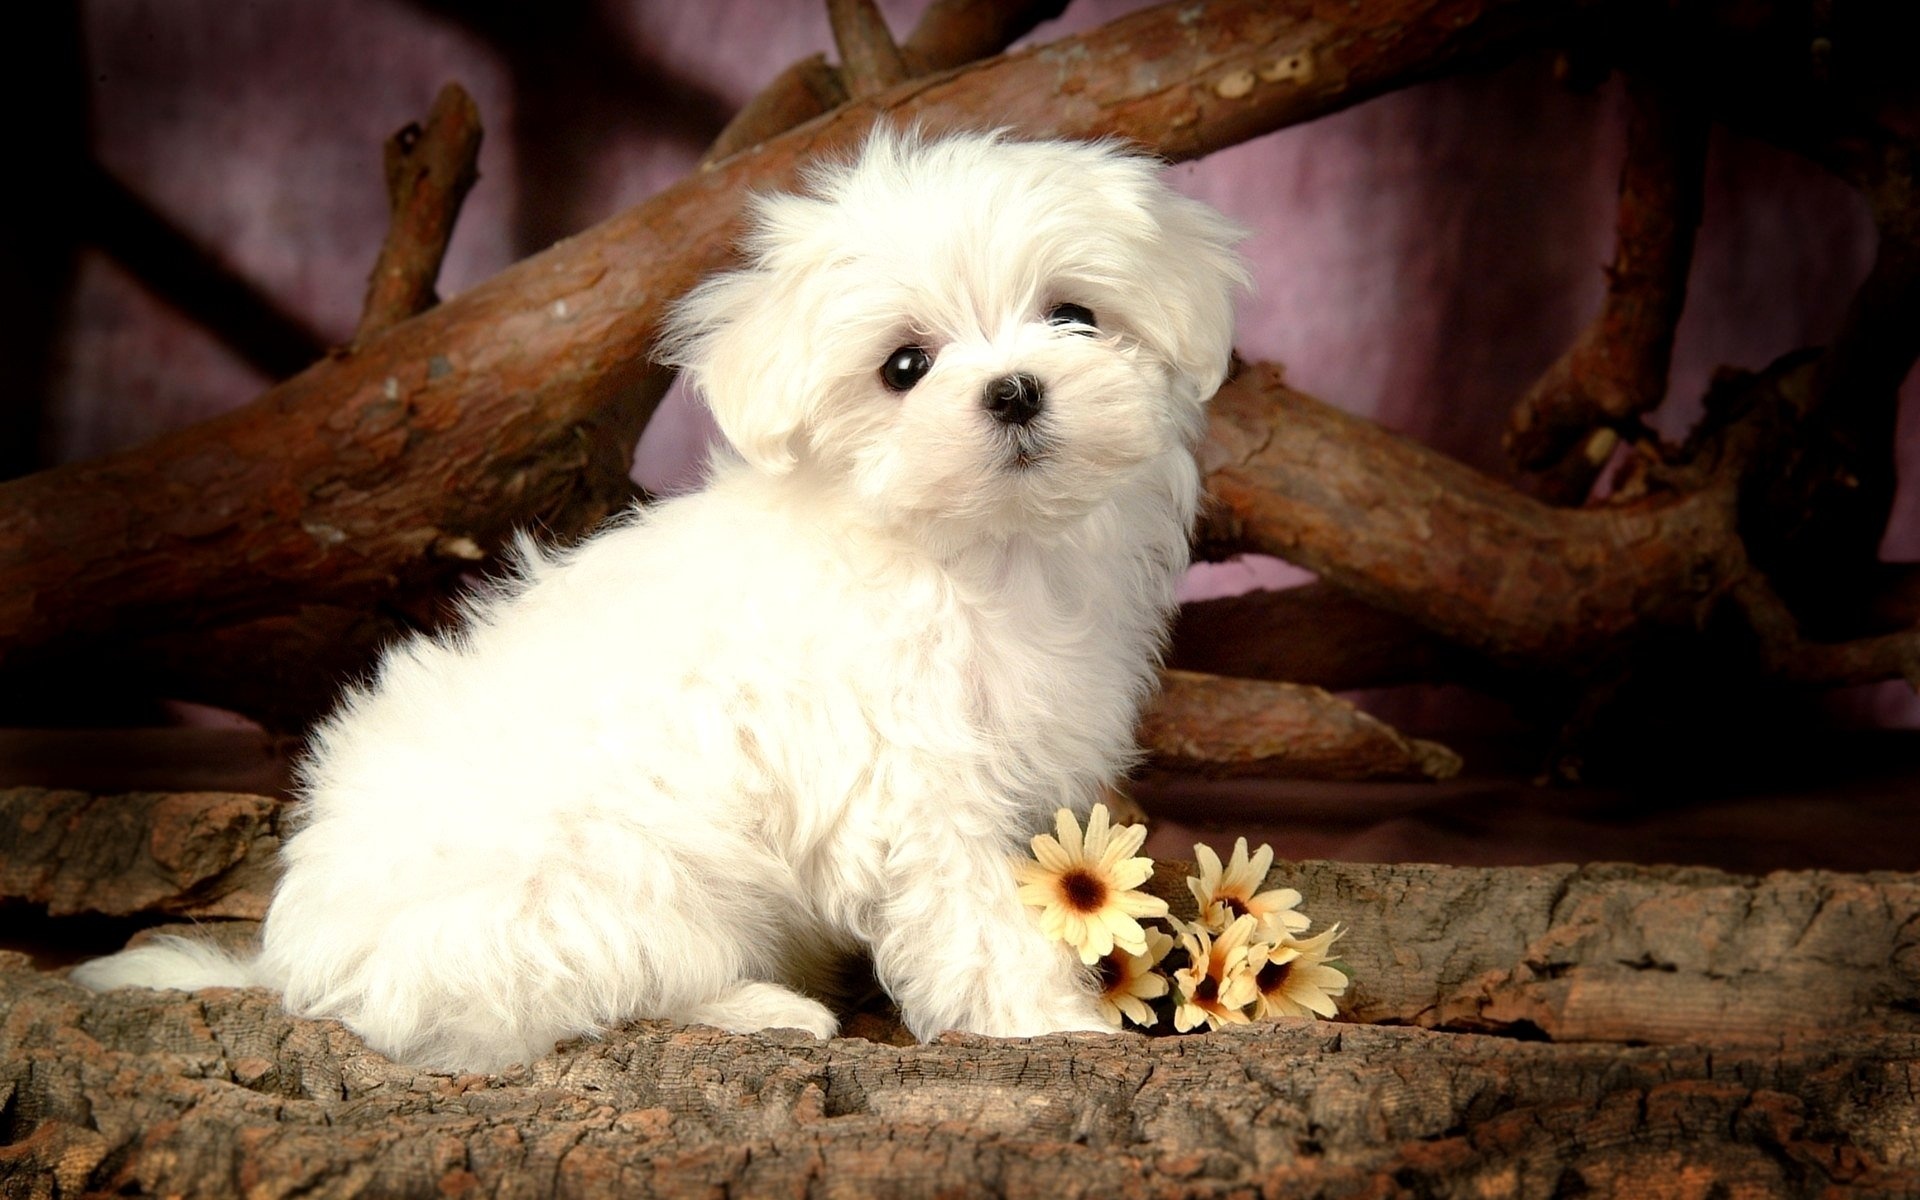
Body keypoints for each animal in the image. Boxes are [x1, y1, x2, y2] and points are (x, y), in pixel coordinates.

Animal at [71, 128, 1244, 1067]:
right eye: (904, 367)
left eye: (1074, 315)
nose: (1013, 390)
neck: (978, 549)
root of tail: (299, 963)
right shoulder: (910, 784)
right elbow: (973, 913)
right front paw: (1052, 1023)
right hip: (605, 887)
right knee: (603, 991)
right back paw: (768, 1009)